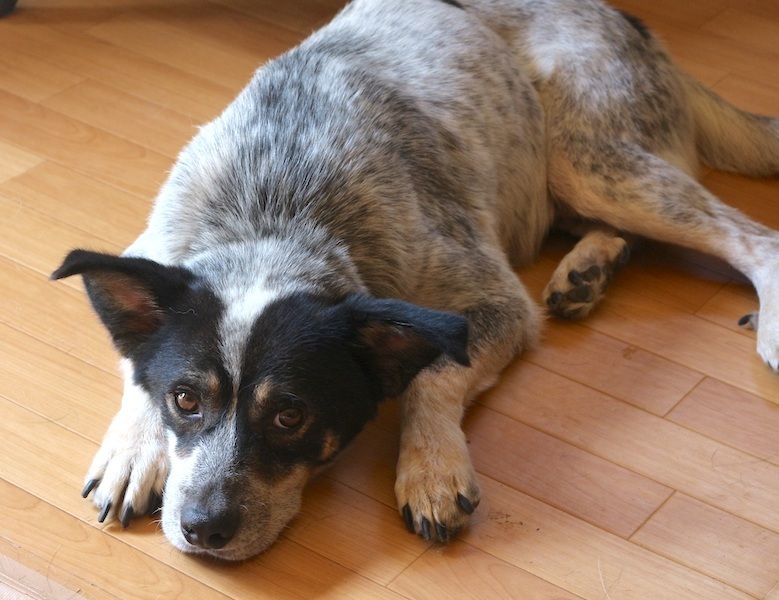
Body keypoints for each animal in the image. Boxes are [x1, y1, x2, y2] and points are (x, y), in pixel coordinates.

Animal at [52, 0, 779, 561]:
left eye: (290, 416)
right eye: (185, 400)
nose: (203, 530)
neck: (273, 216)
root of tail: (629, 20)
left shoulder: (493, 302)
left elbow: (433, 373)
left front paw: (431, 468)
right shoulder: (150, 250)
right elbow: (136, 368)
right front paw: (135, 450)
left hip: (587, 158)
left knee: (753, 239)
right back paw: (586, 270)